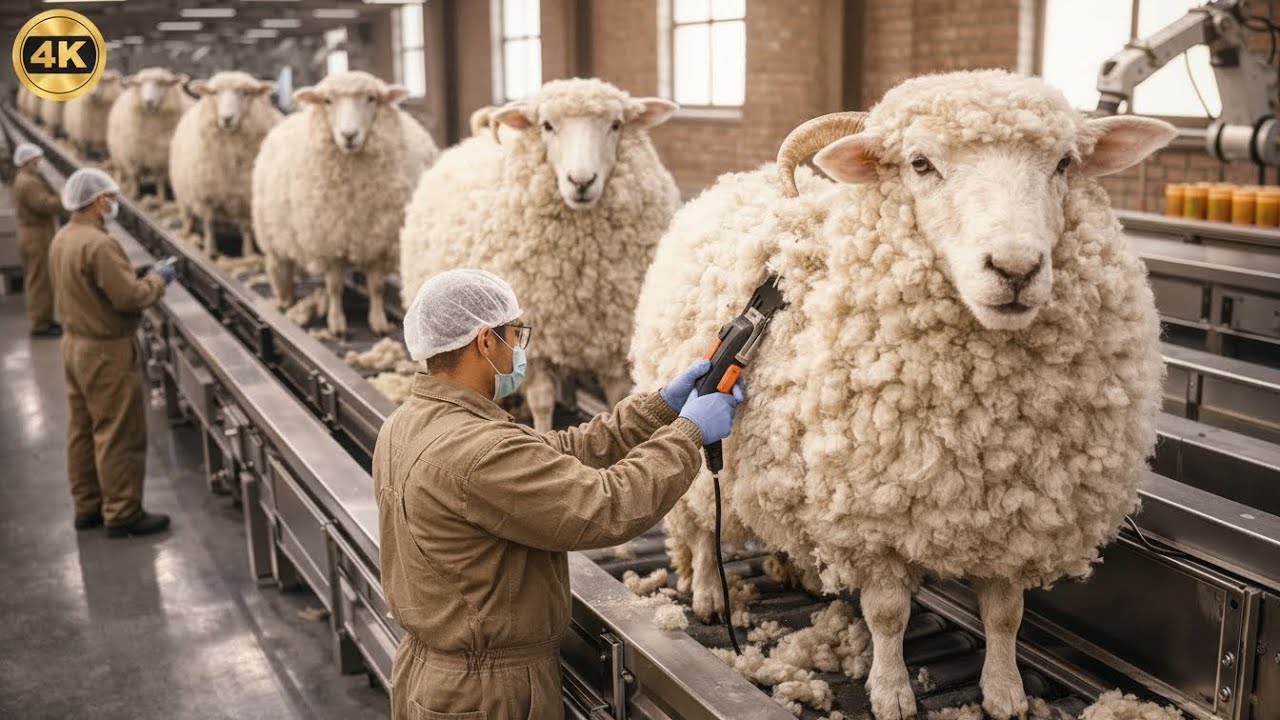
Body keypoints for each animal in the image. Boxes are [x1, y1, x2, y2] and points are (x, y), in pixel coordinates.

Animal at [106, 67, 194, 199]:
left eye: (161, 83)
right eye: (140, 84)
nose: (149, 102)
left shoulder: (161, 160)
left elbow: (160, 181)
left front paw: (161, 198)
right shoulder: (133, 155)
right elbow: (135, 177)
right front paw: (134, 195)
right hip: (117, 153)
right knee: (120, 171)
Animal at [168, 71, 281, 257]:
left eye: (245, 92)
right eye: (214, 93)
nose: (227, 118)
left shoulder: (244, 197)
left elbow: (246, 227)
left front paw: (248, 253)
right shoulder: (205, 194)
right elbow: (209, 224)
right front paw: (209, 251)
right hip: (183, 194)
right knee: (189, 218)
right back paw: (186, 234)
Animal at [252, 70, 438, 338]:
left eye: (371, 98)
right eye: (327, 100)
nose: (349, 135)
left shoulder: (378, 240)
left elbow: (376, 286)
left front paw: (378, 322)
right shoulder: (328, 241)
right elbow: (334, 286)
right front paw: (336, 323)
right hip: (273, 233)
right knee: (281, 266)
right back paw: (285, 297)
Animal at [399, 78, 679, 430]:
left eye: (616, 125)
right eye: (547, 125)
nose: (581, 181)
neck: (582, 266)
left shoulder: (612, 341)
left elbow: (617, 399)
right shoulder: (536, 344)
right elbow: (543, 402)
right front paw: (543, 431)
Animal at [628, 70, 1175, 720]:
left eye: (1064, 162)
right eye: (920, 163)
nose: (1015, 269)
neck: (989, 421)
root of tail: (735, 180)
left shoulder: (1016, 513)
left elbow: (1006, 614)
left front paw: (1005, 691)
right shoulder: (873, 515)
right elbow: (888, 612)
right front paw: (891, 692)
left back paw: (794, 566)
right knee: (696, 524)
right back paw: (710, 593)